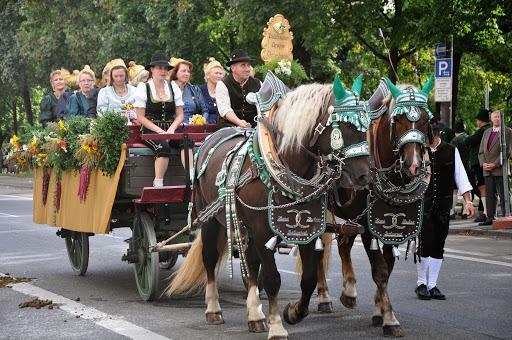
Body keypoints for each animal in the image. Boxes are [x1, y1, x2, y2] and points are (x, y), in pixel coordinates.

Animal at [168, 80, 372, 340]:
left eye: (365, 125)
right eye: (345, 125)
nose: (364, 175)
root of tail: (209, 140)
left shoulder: (306, 230)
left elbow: (308, 278)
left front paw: (293, 312)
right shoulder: (262, 230)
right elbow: (273, 278)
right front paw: (277, 327)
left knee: (251, 265)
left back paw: (255, 315)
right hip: (210, 219)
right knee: (210, 258)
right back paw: (214, 309)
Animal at [310, 77, 434, 338]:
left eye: (426, 120)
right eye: (398, 121)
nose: (414, 165)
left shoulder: (389, 225)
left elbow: (388, 267)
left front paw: (379, 310)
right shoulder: (369, 228)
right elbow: (380, 270)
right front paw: (389, 319)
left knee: (343, 245)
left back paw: (348, 292)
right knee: (320, 248)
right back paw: (325, 297)